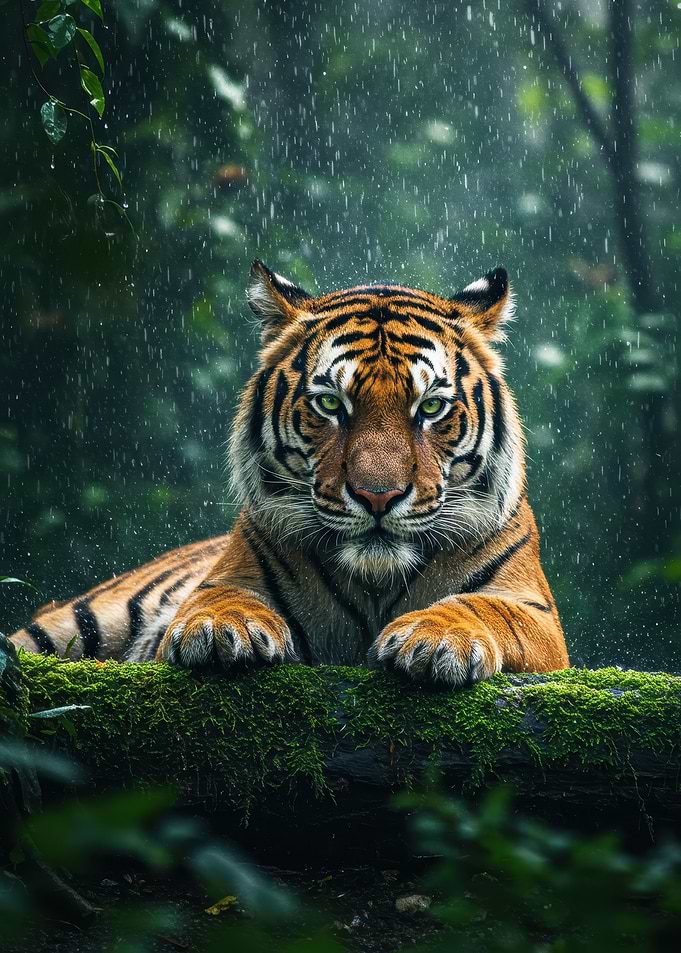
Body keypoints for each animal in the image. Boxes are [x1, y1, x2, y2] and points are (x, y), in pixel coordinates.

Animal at [11, 261, 570, 686]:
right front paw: (223, 629)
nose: (378, 497)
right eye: (330, 404)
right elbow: (220, 597)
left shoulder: (534, 611)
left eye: (430, 407)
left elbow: (484, 609)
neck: (375, 583)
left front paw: (436, 638)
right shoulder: (229, 575)